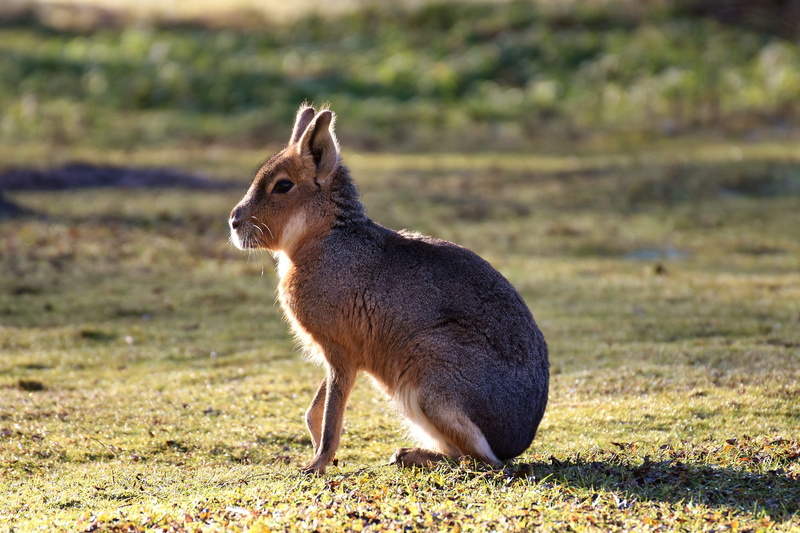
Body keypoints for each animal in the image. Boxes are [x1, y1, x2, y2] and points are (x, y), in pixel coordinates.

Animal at [229, 104, 549, 474]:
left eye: (282, 185)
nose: (234, 222)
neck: (323, 239)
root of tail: (517, 439)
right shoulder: (338, 354)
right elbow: (314, 410)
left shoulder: (340, 353)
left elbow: (332, 416)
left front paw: (315, 466)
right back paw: (407, 454)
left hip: (431, 378)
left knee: (484, 461)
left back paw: (408, 455)